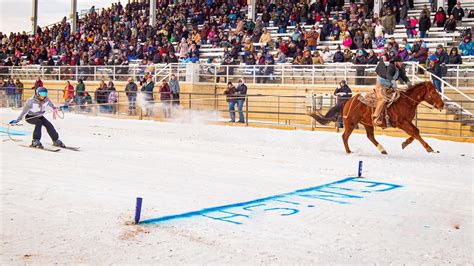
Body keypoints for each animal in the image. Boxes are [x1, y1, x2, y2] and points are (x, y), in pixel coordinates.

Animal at [310, 82, 446, 155]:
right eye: (433, 92)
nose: (442, 104)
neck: (406, 102)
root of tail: (348, 101)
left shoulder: (407, 122)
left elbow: (416, 132)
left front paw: (404, 143)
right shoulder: (401, 123)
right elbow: (415, 133)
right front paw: (429, 148)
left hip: (367, 123)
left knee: (370, 136)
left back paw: (382, 149)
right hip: (351, 123)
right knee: (345, 136)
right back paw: (349, 152)